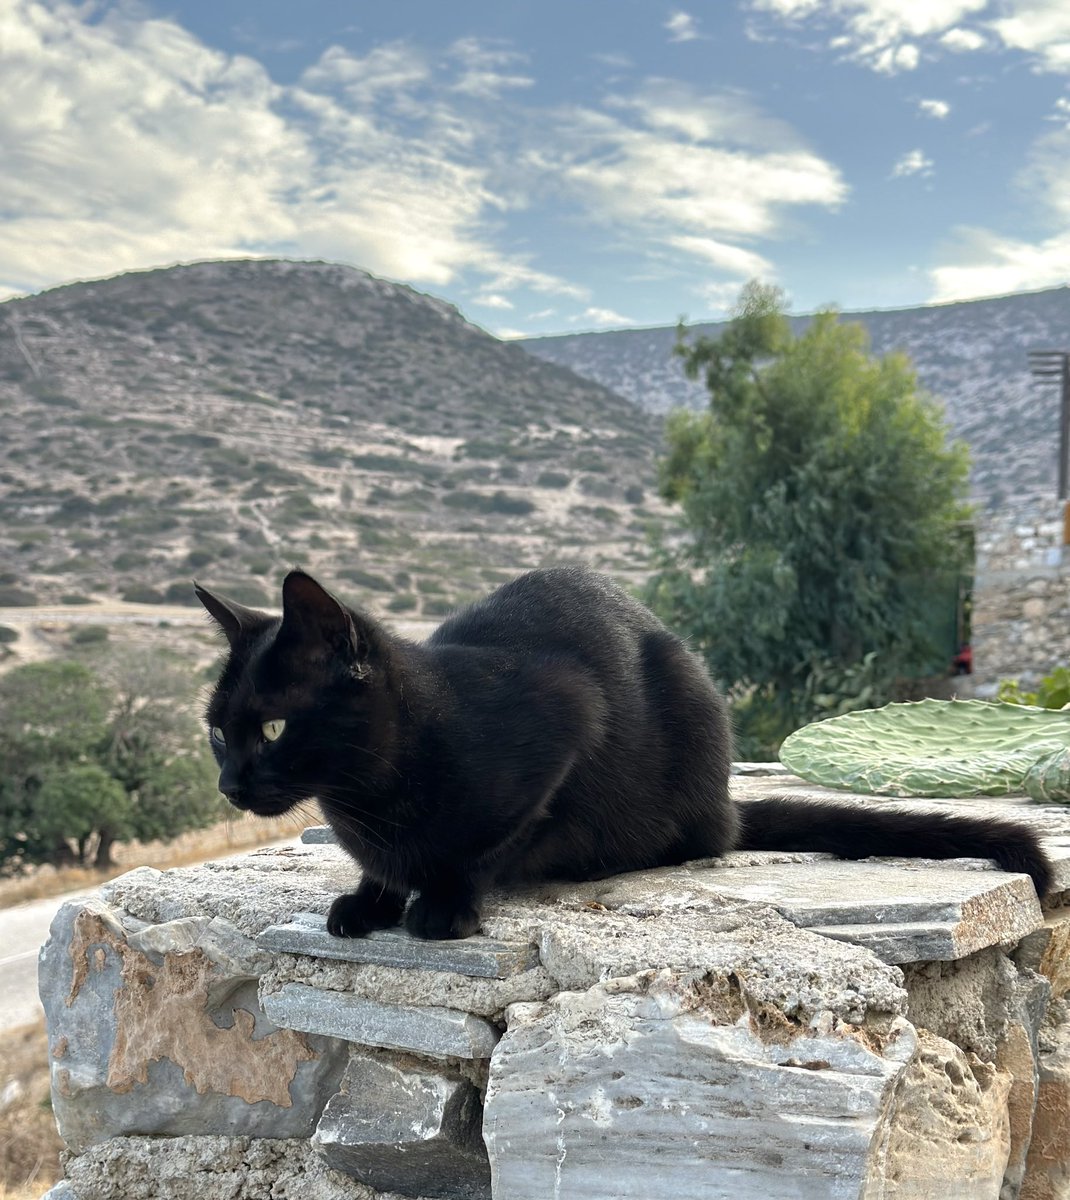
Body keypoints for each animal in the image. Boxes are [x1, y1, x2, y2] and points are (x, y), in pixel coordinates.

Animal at [199, 566, 1055, 940]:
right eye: (216, 731)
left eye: (271, 729)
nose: (230, 782)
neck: (365, 800)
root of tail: (726, 807)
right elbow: (383, 866)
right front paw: (370, 898)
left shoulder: (569, 715)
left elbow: (485, 846)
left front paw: (440, 902)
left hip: (686, 701)